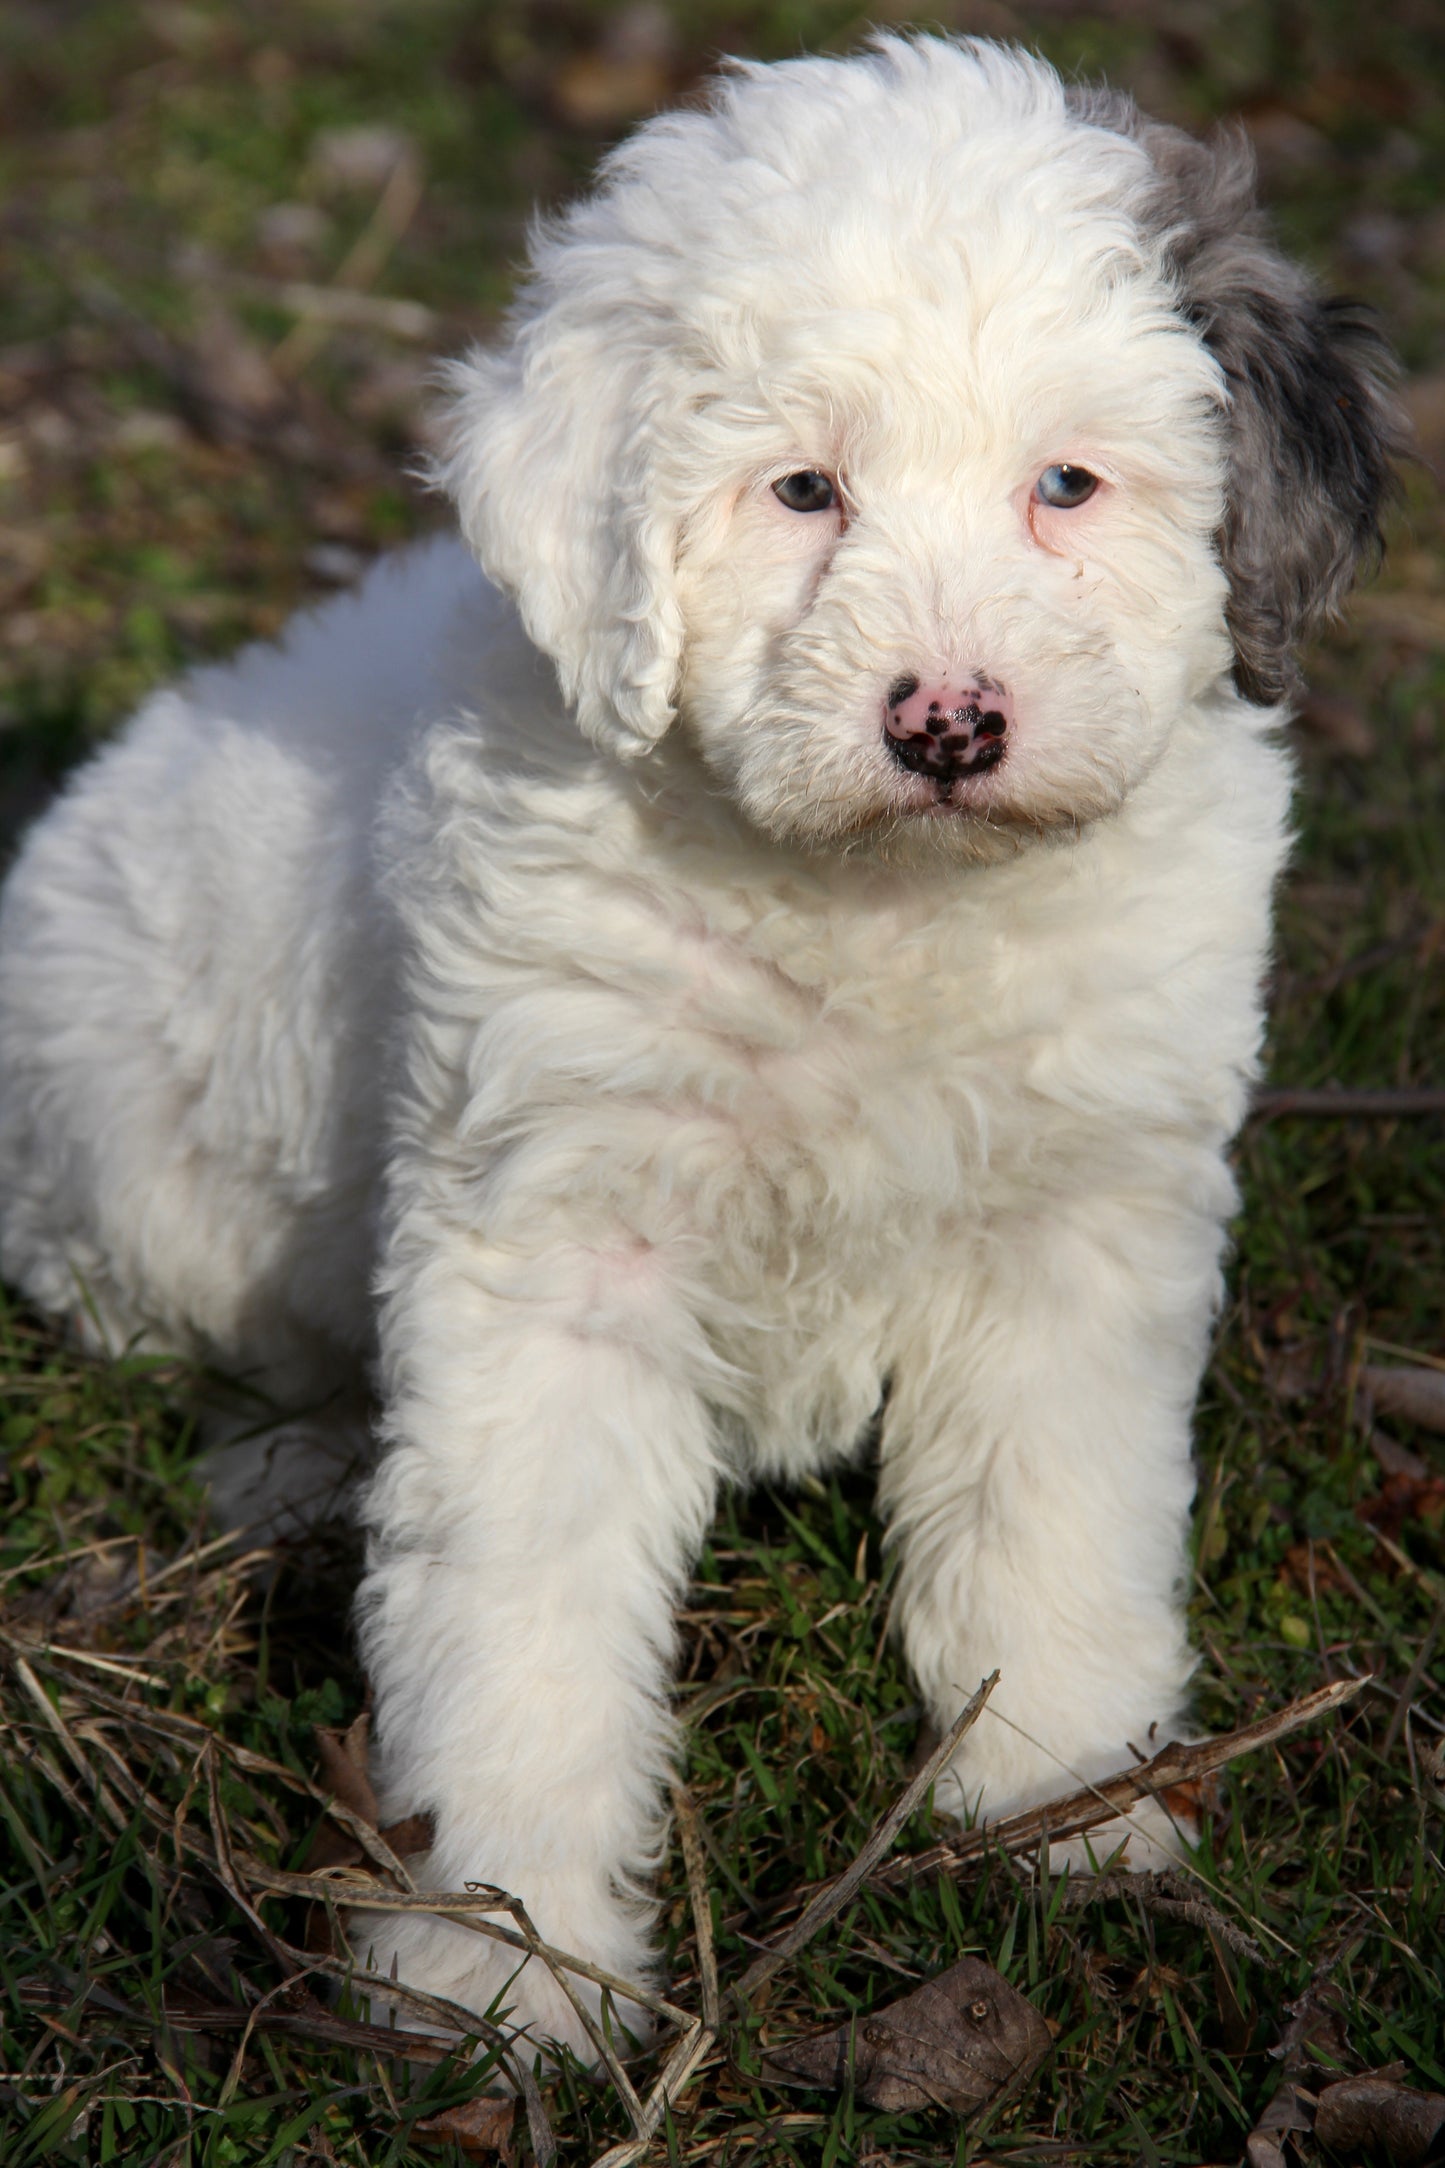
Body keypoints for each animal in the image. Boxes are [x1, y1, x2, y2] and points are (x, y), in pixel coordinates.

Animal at [0, 38, 1403, 2063]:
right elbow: (519, 1612)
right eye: (802, 488)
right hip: (145, 1163)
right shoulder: (554, 1237)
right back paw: (297, 1469)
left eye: (1068, 483)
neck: (878, 909)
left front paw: (1074, 1811)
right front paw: (498, 1970)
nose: (948, 721)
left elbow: (1053, 1523)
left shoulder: (1079, 1225)